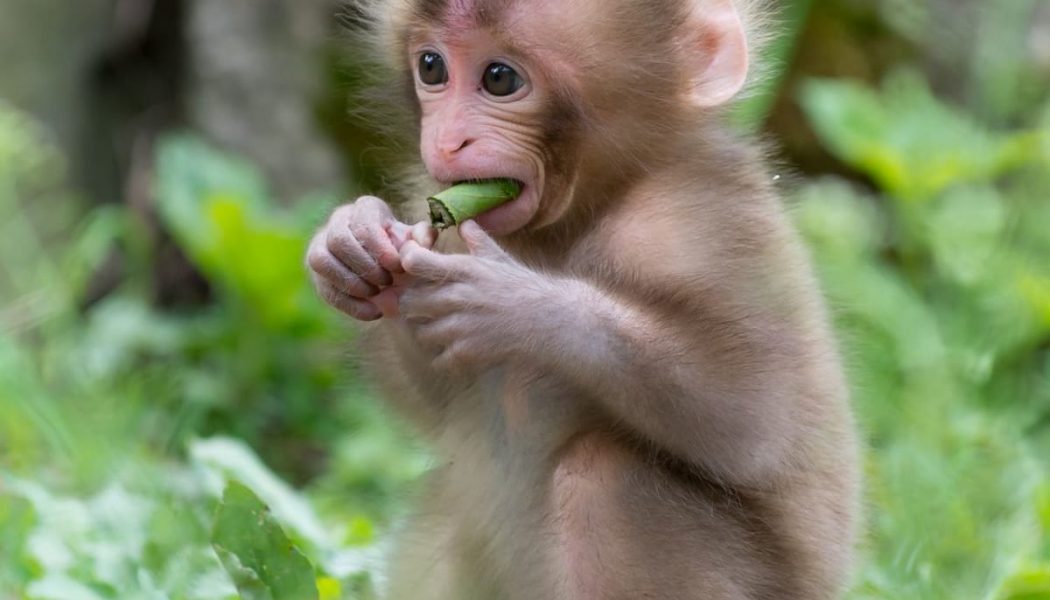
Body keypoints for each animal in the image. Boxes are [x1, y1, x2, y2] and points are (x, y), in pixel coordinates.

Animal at [307, 0, 860, 598]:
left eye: (500, 79)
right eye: (431, 68)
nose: (448, 141)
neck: (588, 205)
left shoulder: (697, 219)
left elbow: (752, 416)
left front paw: (517, 306)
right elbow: (434, 395)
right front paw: (354, 241)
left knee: (605, 480)